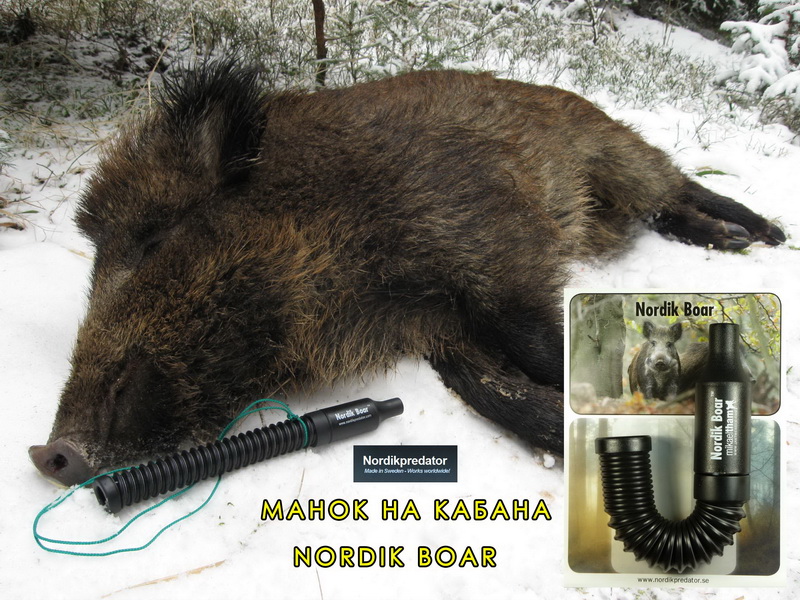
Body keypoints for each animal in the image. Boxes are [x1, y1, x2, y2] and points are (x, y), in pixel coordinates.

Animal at [29, 63, 784, 486]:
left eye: (153, 239)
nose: (48, 453)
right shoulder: (439, 331)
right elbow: (494, 391)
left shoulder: (501, 250)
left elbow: (541, 346)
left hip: (616, 152)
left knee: (677, 183)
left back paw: (758, 235)